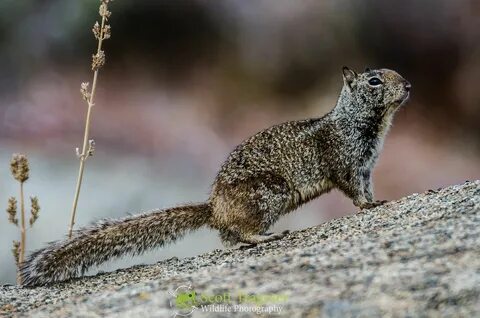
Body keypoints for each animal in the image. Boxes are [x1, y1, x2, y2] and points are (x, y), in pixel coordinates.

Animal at [20, 66, 410, 286]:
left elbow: (368, 187)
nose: (408, 85)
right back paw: (264, 237)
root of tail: (214, 207)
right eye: (375, 81)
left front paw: (377, 201)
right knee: (236, 234)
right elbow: (352, 188)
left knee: (227, 237)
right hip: (269, 194)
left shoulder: (367, 165)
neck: (361, 122)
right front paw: (367, 206)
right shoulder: (346, 160)